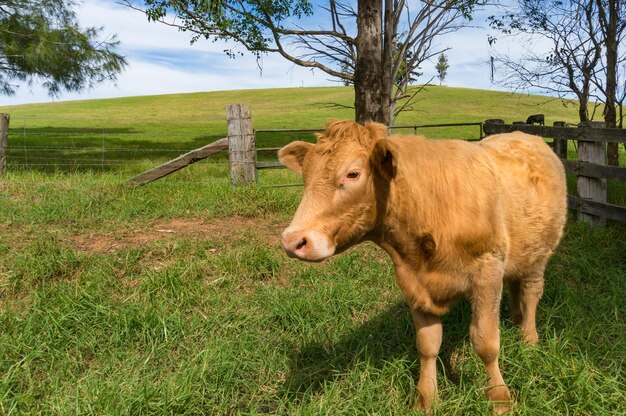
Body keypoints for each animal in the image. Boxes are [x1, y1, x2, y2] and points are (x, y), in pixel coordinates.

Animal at [278, 120, 564, 412]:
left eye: (353, 174)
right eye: (306, 175)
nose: (292, 240)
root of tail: (525, 135)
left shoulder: (487, 274)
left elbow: (485, 342)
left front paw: (499, 398)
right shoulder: (413, 283)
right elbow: (427, 344)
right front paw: (425, 398)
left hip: (540, 253)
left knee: (531, 291)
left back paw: (529, 338)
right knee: (516, 283)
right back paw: (516, 318)